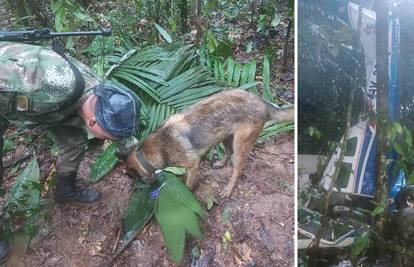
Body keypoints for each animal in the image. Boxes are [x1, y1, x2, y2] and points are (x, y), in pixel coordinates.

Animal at [128, 89, 292, 198]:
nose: (150, 187)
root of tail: (262, 102)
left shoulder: (193, 165)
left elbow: (188, 185)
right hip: (225, 136)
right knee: (228, 151)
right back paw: (220, 163)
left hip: (240, 145)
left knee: (237, 170)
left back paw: (228, 189)